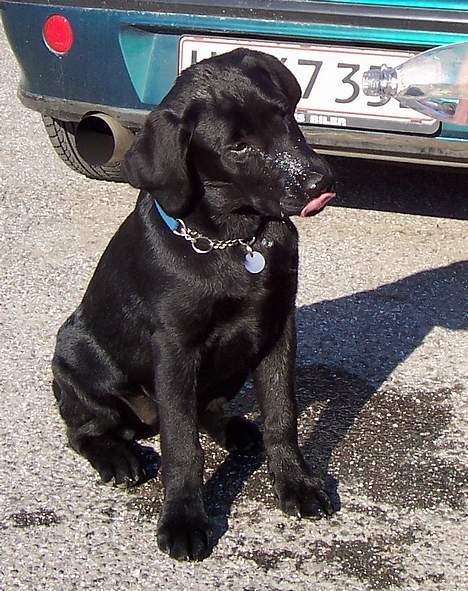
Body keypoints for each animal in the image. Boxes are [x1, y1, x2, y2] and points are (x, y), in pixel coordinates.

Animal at [51, 48, 336, 560]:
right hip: (77, 356)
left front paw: (296, 483)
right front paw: (184, 519)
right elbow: (182, 446)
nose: (319, 182)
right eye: (237, 148)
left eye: (285, 117)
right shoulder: (175, 348)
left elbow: (281, 413)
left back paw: (240, 430)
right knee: (86, 430)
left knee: (208, 409)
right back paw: (119, 457)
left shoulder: (278, 327)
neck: (235, 243)